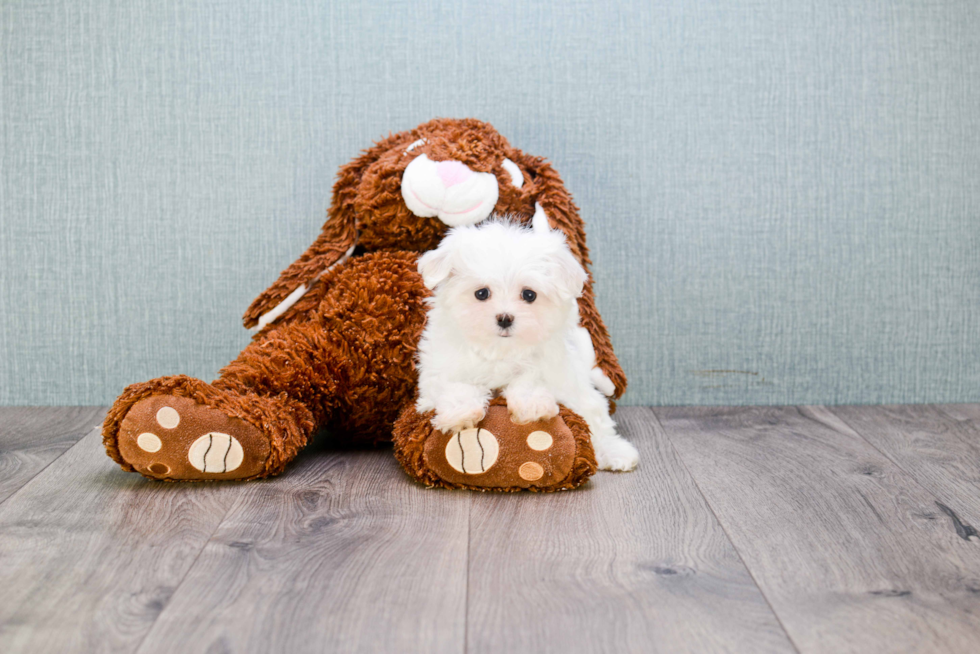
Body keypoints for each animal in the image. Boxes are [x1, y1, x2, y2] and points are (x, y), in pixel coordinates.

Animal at [416, 206, 640, 472]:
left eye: (529, 295)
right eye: (481, 293)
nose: (505, 318)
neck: (500, 350)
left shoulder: (553, 368)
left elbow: (530, 378)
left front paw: (531, 406)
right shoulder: (439, 370)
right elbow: (456, 385)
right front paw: (460, 414)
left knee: (595, 414)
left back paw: (615, 452)